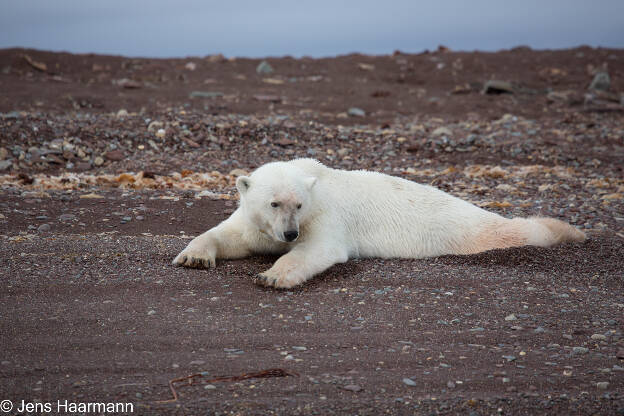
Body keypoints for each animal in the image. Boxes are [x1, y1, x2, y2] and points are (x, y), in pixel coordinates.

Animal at [173, 159, 588, 290]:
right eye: (273, 203)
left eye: (299, 204)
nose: (289, 233)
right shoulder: (256, 223)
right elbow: (230, 235)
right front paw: (194, 256)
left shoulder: (325, 216)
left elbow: (319, 249)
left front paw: (273, 275)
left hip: (467, 228)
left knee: (509, 230)